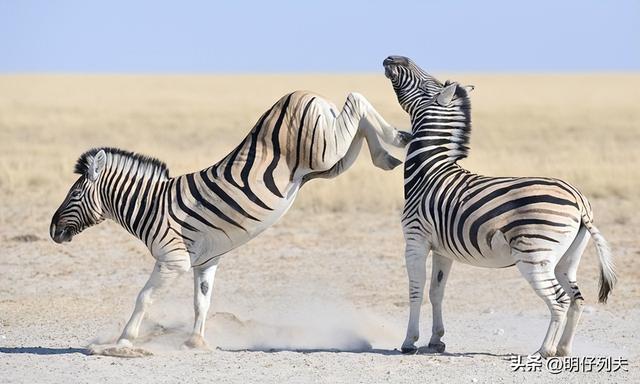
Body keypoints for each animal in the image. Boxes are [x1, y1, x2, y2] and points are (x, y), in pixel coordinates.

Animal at [50, 89, 410, 348]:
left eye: (73, 195)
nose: (53, 231)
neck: (151, 206)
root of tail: (303, 93)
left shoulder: (173, 260)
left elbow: (144, 297)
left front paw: (124, 340)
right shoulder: (204, 261)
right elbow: (202, 302)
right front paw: (195, 342)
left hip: (323, 150)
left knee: (356, 100)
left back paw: (394, 139)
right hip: (329, 162)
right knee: (357, 123)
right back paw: (388, 152)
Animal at [382, 56, 616, 356]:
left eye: (427, 84)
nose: (392, 57)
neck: (429, 170)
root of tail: (578, 200)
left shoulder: (415, 239)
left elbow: (416, 290)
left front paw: (409, 341)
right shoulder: (442, 249)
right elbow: (437, 291)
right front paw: (436, 340)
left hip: (533, 256)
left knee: (560, 300)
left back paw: (544, 350)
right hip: (566, 259)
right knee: (577, 298)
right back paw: (563, 349)